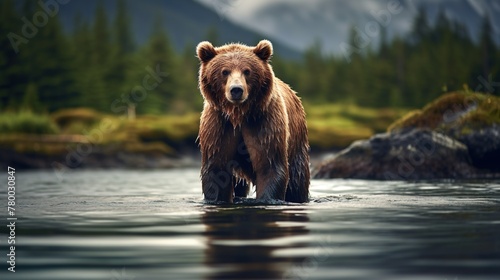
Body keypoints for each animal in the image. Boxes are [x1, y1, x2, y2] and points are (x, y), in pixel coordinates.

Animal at [196, 39, 308, 202]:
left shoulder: (264, 123)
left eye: (247, 71)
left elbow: (270, 166)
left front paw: (267, 199)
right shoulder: (218, 125)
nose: (236, 90)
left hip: (297, 141)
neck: (239, 114)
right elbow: (216, 170)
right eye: (225, 71)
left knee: (297, 179)